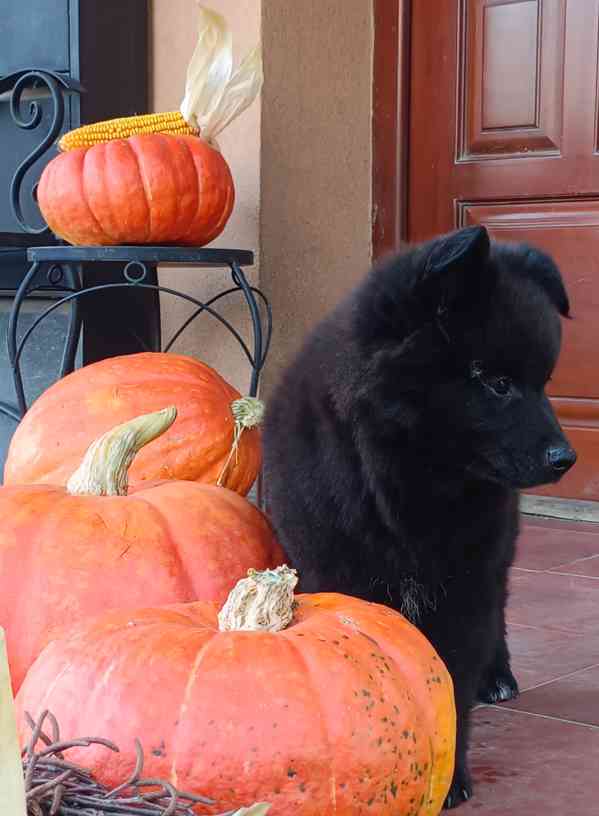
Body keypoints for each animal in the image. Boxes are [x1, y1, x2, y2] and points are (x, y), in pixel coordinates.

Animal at [264, 226, 580, 808]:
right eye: (495, 382)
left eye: (544, 382)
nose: (566, 459)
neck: (409, 485)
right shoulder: (336, 568)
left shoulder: (467, 581)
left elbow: (451, 678)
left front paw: (449, 776)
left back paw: (498, 675)